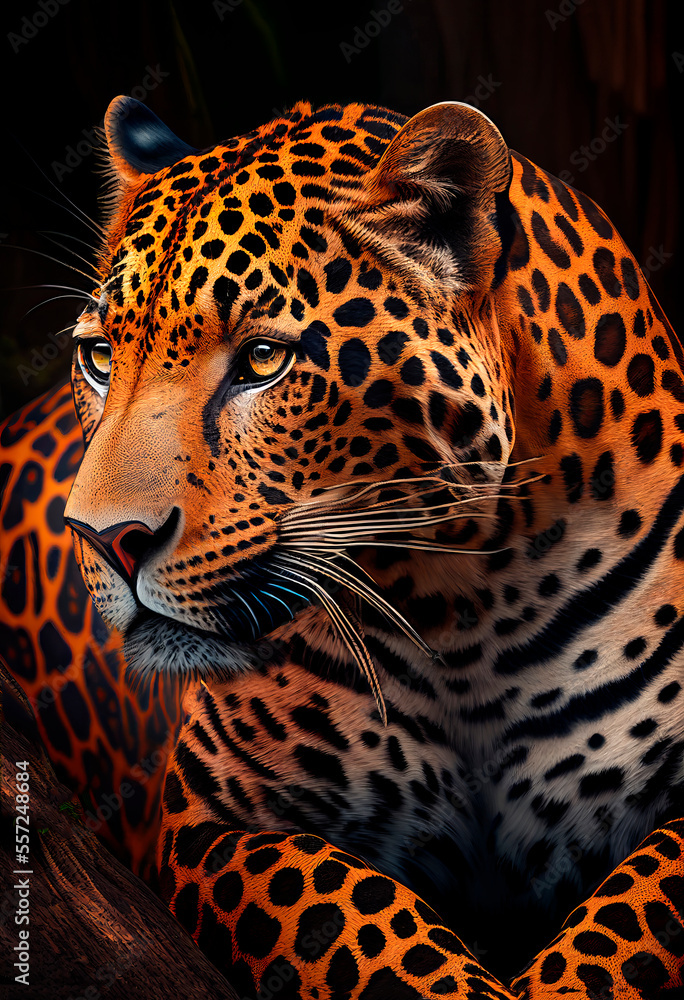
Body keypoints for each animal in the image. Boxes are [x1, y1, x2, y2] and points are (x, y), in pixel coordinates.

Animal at [1, 94, 683, 998]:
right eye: (100, 357)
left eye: (263, 359)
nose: (106, 539)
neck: (469, 605)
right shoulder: (213, 822)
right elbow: (359, 921)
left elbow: (625, 927)